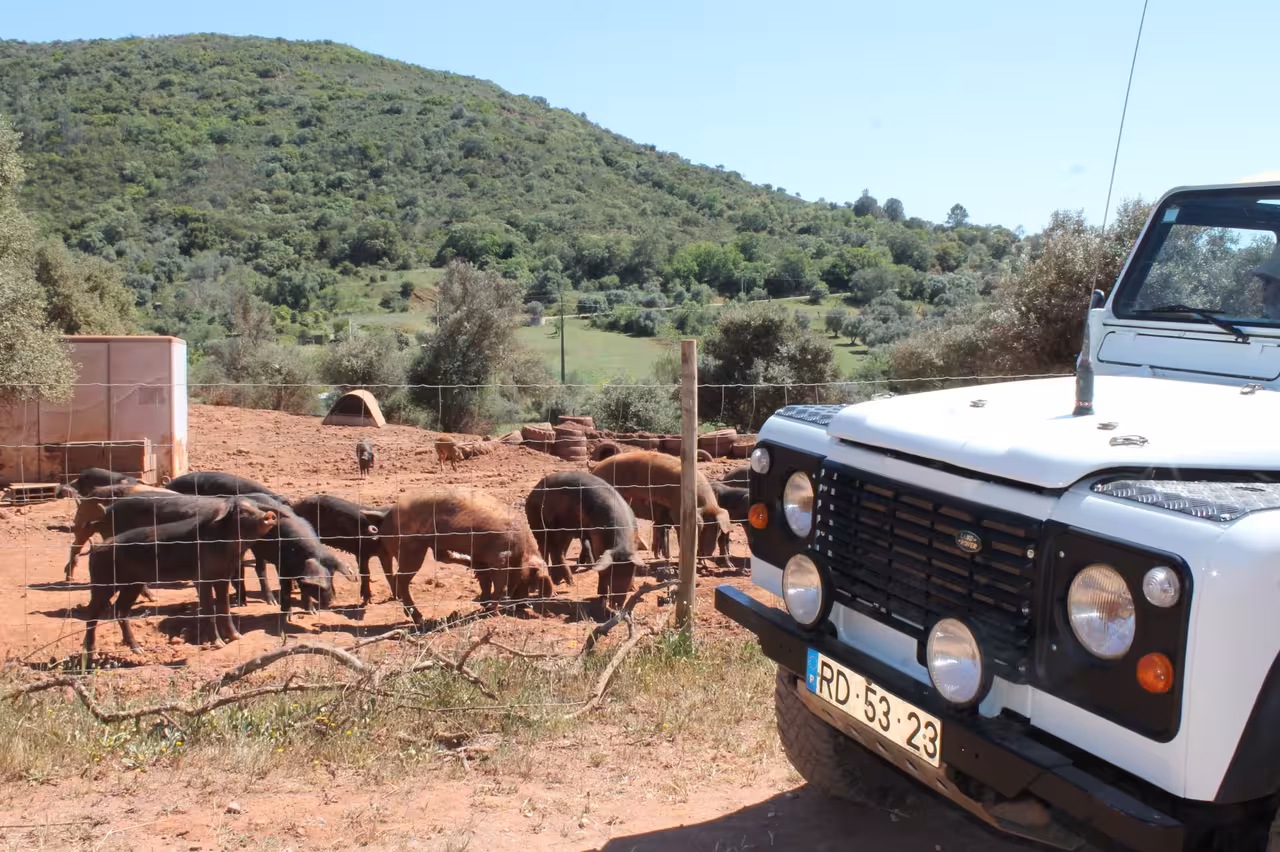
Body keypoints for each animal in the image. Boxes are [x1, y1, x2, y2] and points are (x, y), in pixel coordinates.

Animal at [81, 497, 279, 653]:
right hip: (103, 582)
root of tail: (96, 547)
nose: (268, 514)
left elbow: (225, 607)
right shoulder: (202, 577)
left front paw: (237, 637)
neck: (229, 546)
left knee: (120, 610)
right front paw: (218, 644)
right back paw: (92, 650)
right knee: (93, 611)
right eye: (241, 511)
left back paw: (138, 649)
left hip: (132, 585)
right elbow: (209, 609)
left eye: (257, 507)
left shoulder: (223, 576)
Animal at [372, 488, 551, 625]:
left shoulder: (481, 556)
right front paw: (494, 613)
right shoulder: (500, 557)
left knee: (439, 557)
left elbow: (485, 580)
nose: (521, 606)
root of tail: (387, 517)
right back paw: (420, 619)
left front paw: (485, 603)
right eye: (529, 582)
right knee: (401, 579)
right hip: (411, 549)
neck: (522, 552)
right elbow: (500, 585)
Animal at [525, 472, 647, 613]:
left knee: (557, 552)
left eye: (630, 574)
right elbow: (601, 573)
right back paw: (551, 593)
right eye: (611, 573)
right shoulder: (598, 544)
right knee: (544, 551)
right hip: (538, 525)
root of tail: (533, 492)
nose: (617, 605)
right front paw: (601, 600)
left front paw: (633, 588)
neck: (621, 546)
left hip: (564, 530)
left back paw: (569, 583)